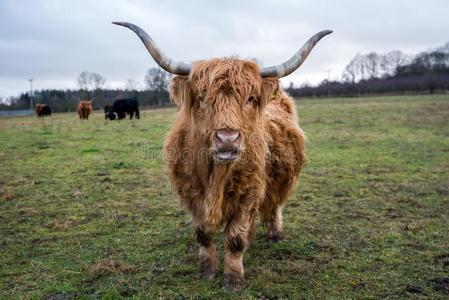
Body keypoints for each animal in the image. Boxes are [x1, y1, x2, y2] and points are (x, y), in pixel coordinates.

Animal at [114, 21, 330, 290]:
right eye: (202, 99)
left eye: (250, 98)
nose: (227, 138)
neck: (216, 175)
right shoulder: (192, 194)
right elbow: (203, 233)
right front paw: (206, 270)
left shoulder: (249, 192)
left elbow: (235, 238)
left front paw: (233, 278)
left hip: (282, 179)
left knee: (274, 204)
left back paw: (275, 233)